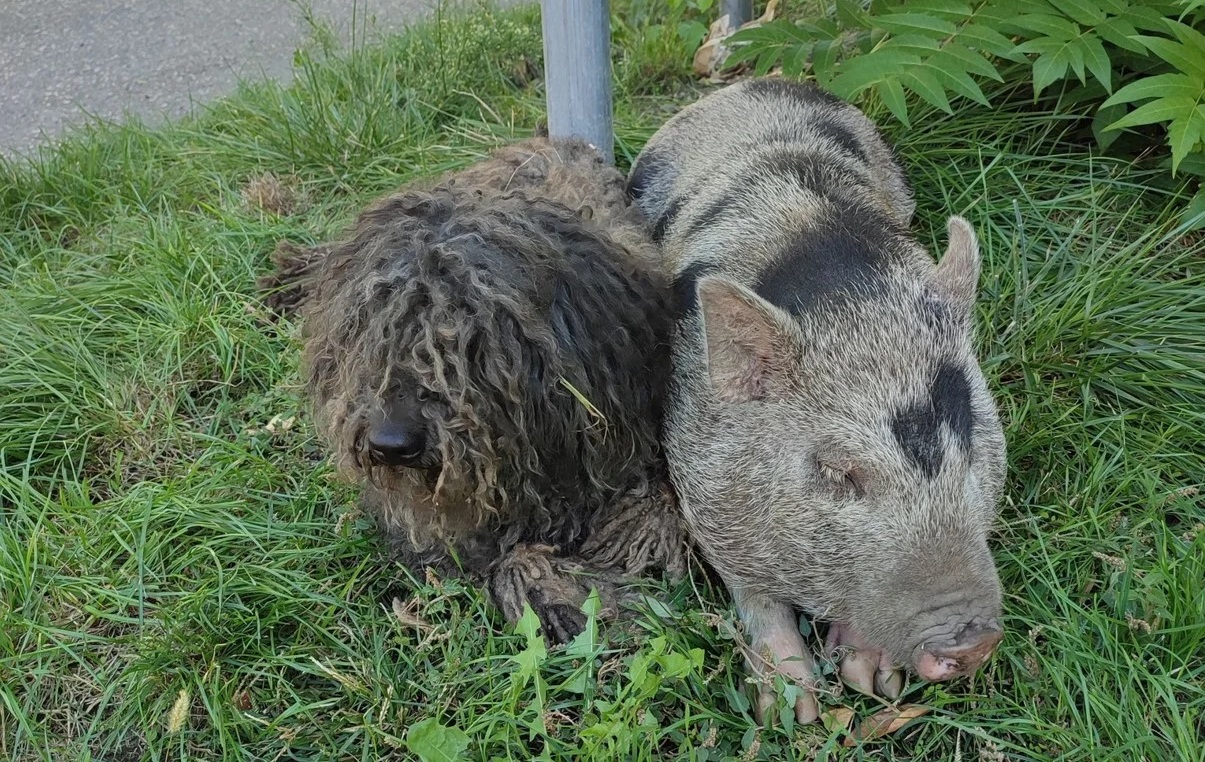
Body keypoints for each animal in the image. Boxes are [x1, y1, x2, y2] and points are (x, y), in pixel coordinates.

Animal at [259, 138, 684, 641]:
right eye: (369, 335)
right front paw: (560, 591)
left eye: (471, 343)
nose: (390, 444)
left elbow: (651, 505)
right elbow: (501, 557)